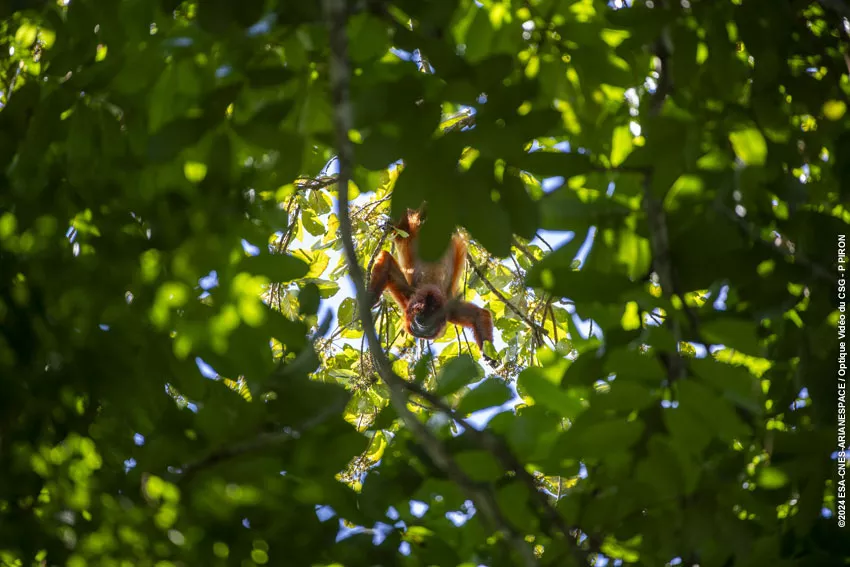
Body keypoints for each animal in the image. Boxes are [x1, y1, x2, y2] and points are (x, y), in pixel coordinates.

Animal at [366, 207, 494, 351]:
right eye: (417, 325)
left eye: (428, 328)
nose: (421, 323)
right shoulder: (409, 295)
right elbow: (386, 259)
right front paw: (370, 298)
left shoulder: (450, 310)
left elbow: (480, 314)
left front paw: (488, 354)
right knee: (403, 226)